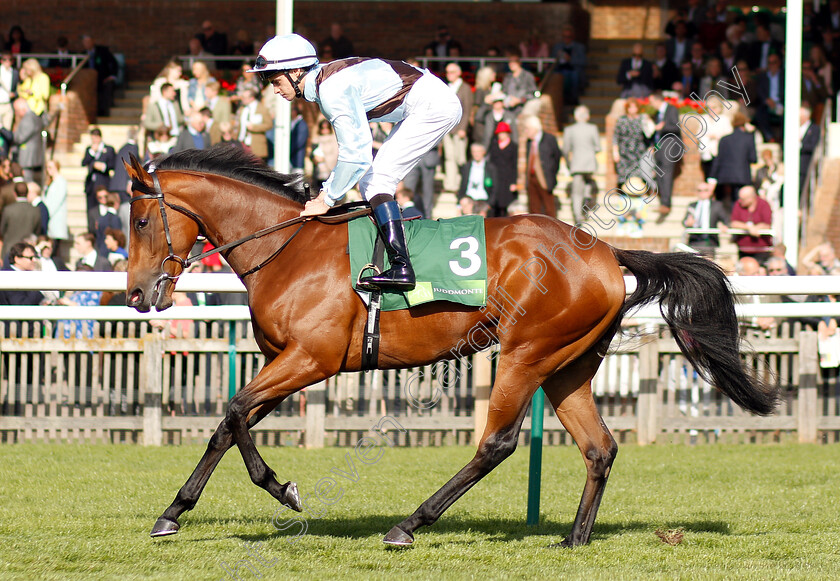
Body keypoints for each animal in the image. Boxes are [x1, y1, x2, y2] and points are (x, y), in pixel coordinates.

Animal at [123, 147, 776, 548]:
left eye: (138, 221)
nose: (134, 293)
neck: (287, 248)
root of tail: (606, 253)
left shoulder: (310, 359)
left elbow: (235, 412)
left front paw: (283, 490)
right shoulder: (282, 361)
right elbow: (227, 424)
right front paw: (173, 513)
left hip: (526, 353)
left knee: (497, 443)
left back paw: (410, 523)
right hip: (569, 366)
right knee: (599, 448)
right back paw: (574, 537)